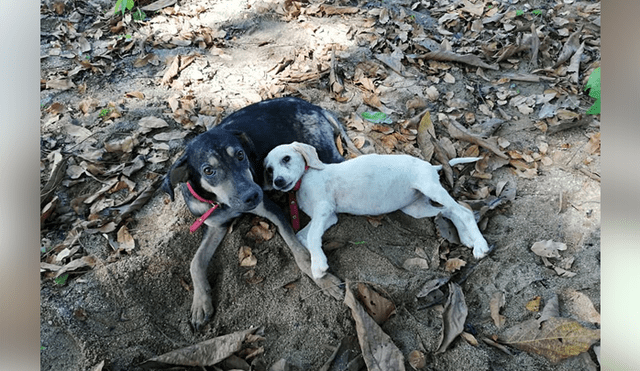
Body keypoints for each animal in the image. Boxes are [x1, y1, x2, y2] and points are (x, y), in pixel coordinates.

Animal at [161, 97, 356, 330]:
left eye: (240, 155)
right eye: (208, 170)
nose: (254, 195)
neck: (220, 203)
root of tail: (316, 107)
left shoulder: (272, 210)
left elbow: (300, 254)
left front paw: (324, 281)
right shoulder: (216, 225)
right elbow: (196, 262)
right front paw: (200, 303)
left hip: (325, 152)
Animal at [264, 142, 490, 280]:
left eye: (286, 159)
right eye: (268, 170)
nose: (278, 182)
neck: (303, 180)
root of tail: (431, 166)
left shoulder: (323, 209)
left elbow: (310, 237)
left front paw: (318, 265)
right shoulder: (329, 217)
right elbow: (304, 236)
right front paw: (316, 257)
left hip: (430, 188)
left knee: (464, 211)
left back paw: (480, 245)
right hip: (416, 208)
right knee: (450, 211)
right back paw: (466, 238)